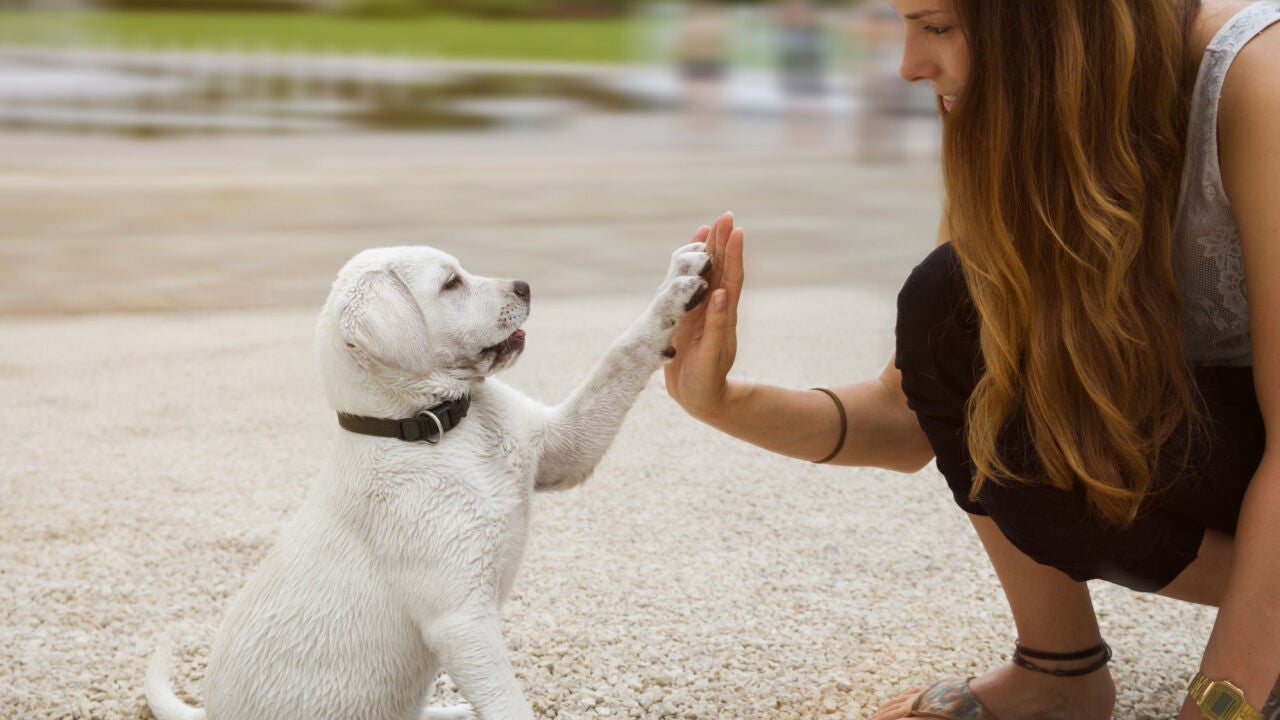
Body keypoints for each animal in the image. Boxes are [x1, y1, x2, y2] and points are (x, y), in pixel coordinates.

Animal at [147, 242, 721, 717]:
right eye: (451, 284)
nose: (525, 286)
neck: (440, 427)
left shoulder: (563, 448)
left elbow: (619, 354)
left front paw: (676, 285)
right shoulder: (462, 620)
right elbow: (509, 705)